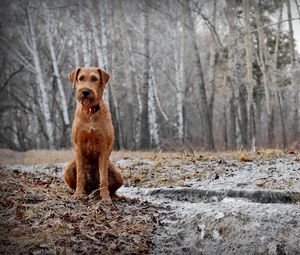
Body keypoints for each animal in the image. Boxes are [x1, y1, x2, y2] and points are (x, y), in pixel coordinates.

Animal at [63, 67, 123, 203]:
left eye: (94, 78)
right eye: (81, 78)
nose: (85, 91)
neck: (90, 112)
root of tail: (92, 188)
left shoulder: (104, 147)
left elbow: (104, 178)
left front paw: (105, 197)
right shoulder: (79, 146)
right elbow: (80, 175)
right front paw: (78, 194)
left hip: (118, 174)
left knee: (111, 188)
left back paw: (109, 195)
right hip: (69, 168)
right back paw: (80, 192)